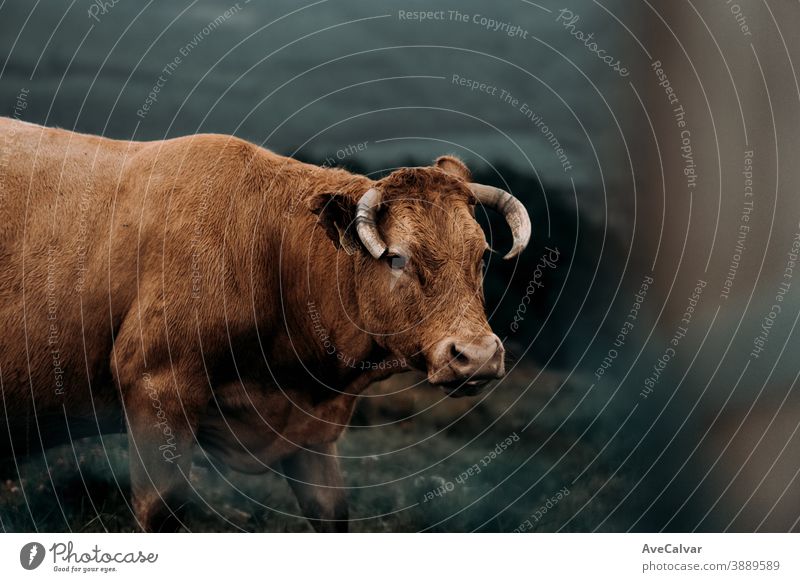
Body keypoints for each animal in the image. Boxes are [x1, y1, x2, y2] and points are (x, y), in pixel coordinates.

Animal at [1, 118, 532, 532]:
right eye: (396, 258)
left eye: (482, 255)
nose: (477, 355)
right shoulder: (157, 389)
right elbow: (160, 510)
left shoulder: (313, 437)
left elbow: (332, 513)